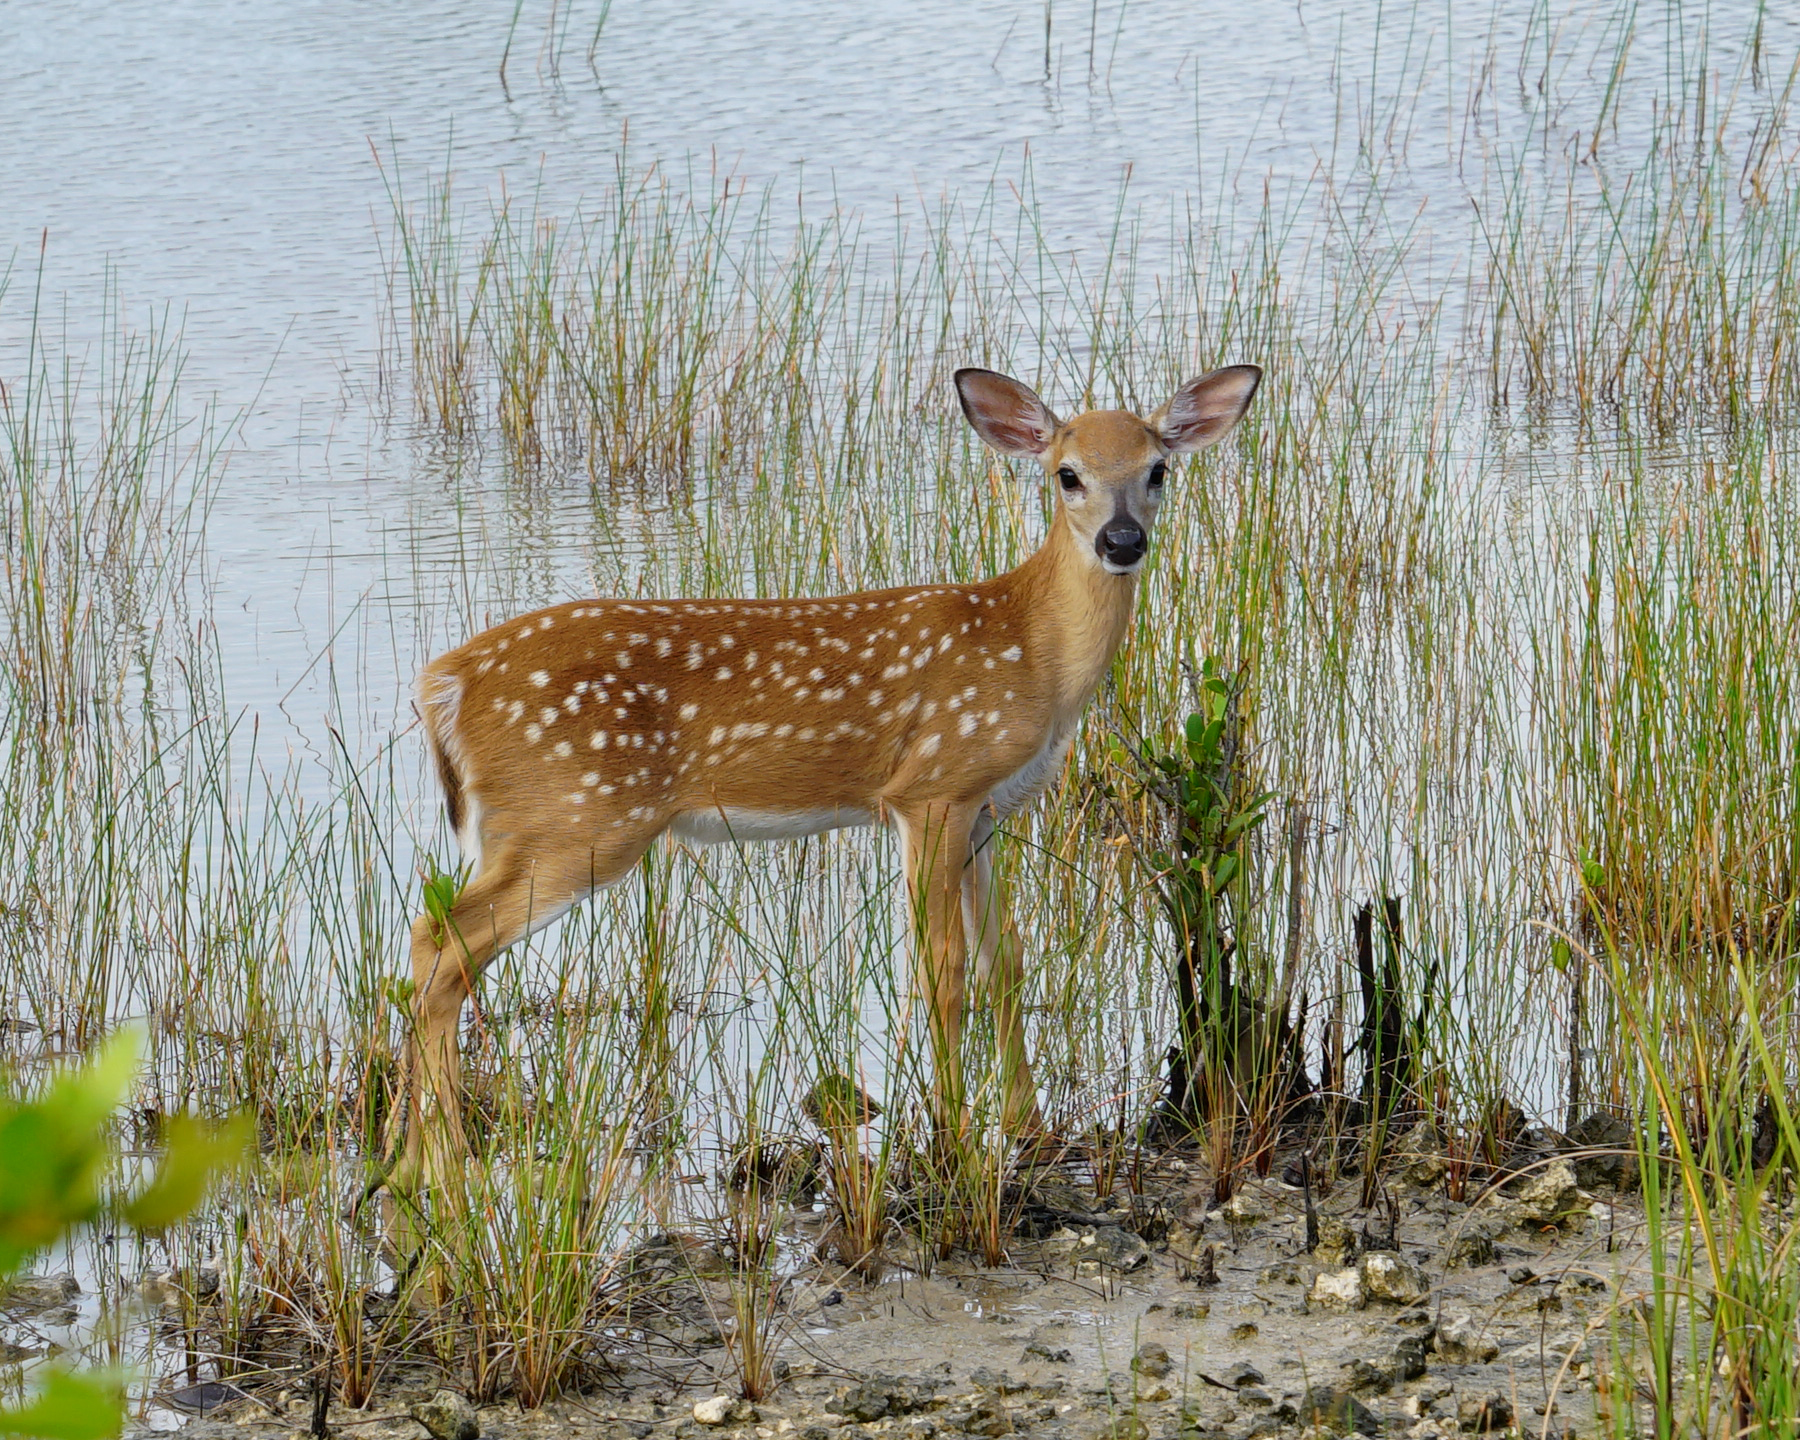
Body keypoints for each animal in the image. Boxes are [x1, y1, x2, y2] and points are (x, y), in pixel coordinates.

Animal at [387, 362, 1261, 1192]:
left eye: (1158, 469)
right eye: (1067, 474)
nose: (1122, 540)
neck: (1035, 652)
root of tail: (444, 682)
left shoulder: (984, 809)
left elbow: (1003, 963)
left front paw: (1034, 1133)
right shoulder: (931, 786)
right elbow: (941, 972)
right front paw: (955, 1143)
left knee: (432, 947)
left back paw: (411, 1165)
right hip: (574, 819)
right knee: (440, 942)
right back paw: (440, 1165)